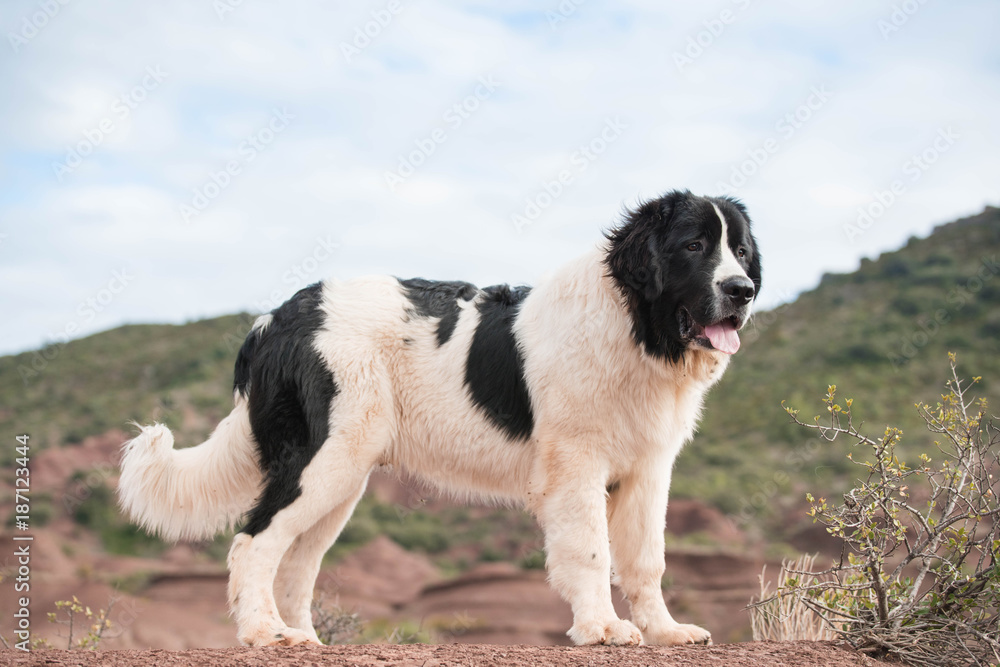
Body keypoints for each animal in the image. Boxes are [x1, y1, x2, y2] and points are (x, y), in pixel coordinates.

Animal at [119, 190, 756, 648]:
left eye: (744, 252)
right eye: (694, 245)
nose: (743, 290)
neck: (633, 324)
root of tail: (276, 317)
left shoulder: (648, 470)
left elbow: (646, 560)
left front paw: (666, 631)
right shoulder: (576, 466)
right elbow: (591, 552)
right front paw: (601, 629)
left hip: (342, 479)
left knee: (296, 561)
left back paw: (303, 636)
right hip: (322, 459)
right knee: (254, 543)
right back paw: (263, 634)